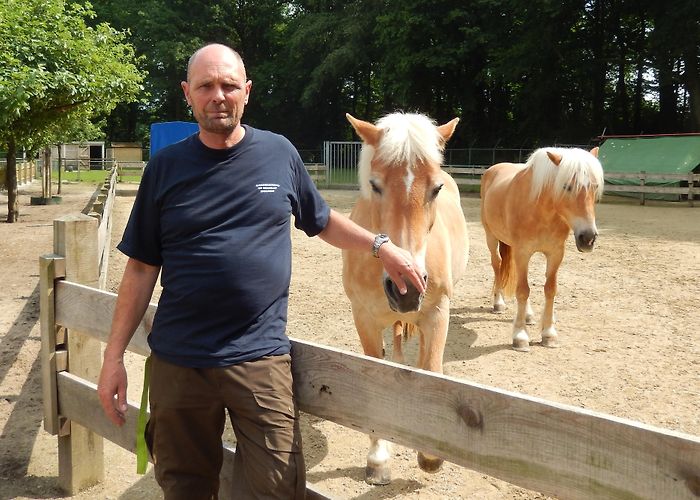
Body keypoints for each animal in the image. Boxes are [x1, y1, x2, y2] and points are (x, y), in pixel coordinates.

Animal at [342, 112, 468, 484]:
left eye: (436, 189)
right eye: (375, 185)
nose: (407, 287)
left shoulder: (437, 314)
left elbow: (431, 370)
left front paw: (430, 455)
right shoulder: (364, 318)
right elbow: (375, 376)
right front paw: (378, 460)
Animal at [482, 146, 600, 352]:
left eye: (595, 187)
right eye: (566, 186)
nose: (588, 238)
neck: (540, 210)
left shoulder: (555, 253)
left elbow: (549, 289)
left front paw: (549, 334)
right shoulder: (523, 252)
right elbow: (523, 290)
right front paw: (520, 337)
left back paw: (528, 315)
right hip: (492, 238)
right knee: (497, 266)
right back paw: (498, 303)